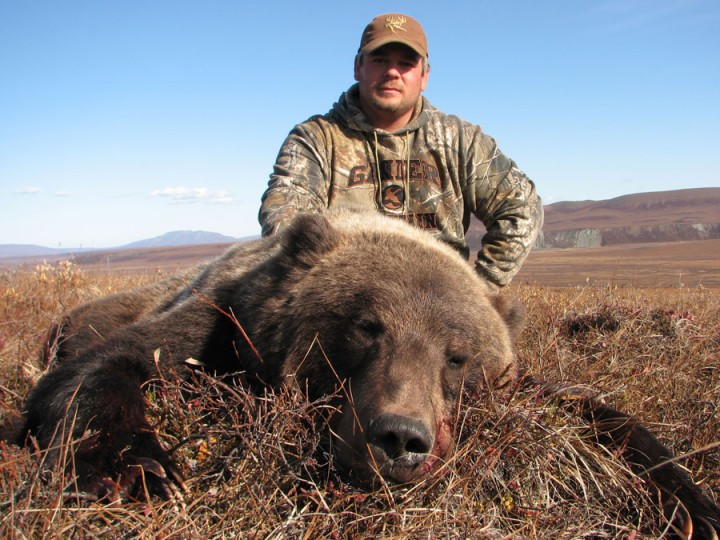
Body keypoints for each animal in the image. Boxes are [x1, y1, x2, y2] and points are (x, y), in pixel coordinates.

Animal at [7, 209, 720, 532]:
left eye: (458, 357)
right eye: (364, 328)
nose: (400, 438)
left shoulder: (518, 385)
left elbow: (600, 415)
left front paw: (692, 504)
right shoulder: (222, 322)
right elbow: (105, 369)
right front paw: (140, 470)